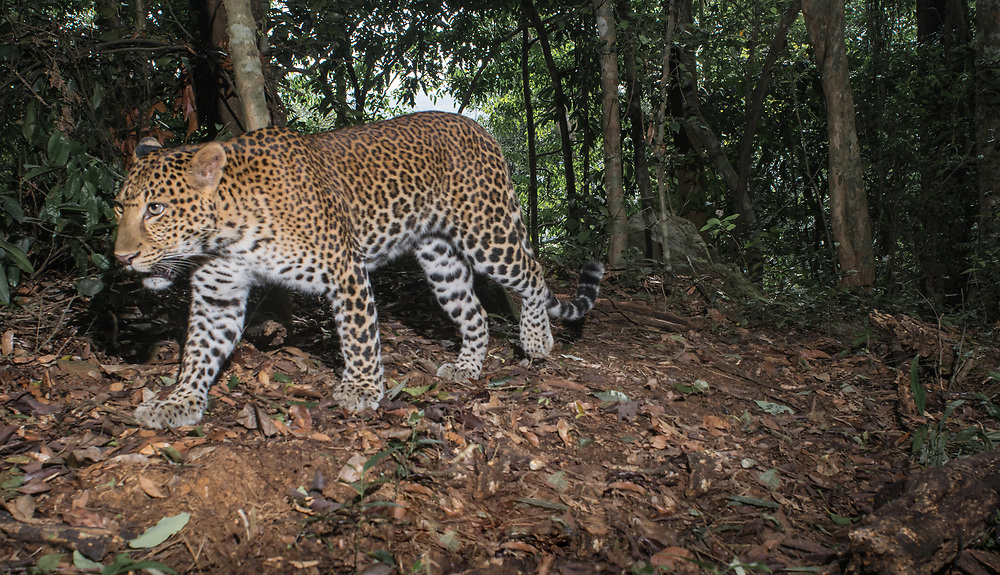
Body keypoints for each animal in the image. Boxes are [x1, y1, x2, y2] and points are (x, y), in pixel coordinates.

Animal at [113, 111, 604, 428]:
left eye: (156, 209)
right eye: (120, 207)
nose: (121, 257)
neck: (228, 232)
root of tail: (480, 129)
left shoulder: (344, 270)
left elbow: (359, 337)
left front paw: (363, 390)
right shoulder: (219, 293)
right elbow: (199, 352)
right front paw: (178, 402)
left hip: (488, 233)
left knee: (533, 274)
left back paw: (537, 341)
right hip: (440, 257)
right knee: (475, 312)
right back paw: (466, 367)